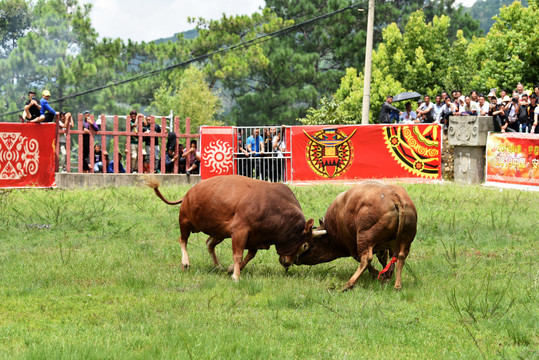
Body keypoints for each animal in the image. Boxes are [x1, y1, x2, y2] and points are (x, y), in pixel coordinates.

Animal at [148, 176, 316, 280]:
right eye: (305, 245)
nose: (288, 264)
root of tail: (189, 193)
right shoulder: (240, 231)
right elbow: (238, 255)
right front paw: (236, 275)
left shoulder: (255, 238)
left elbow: (249, 256)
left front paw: (231, 269)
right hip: (185, 221)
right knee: (182, 240)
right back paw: (185, 261)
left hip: (219, 232)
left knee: (209, 243)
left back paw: (218, 266)